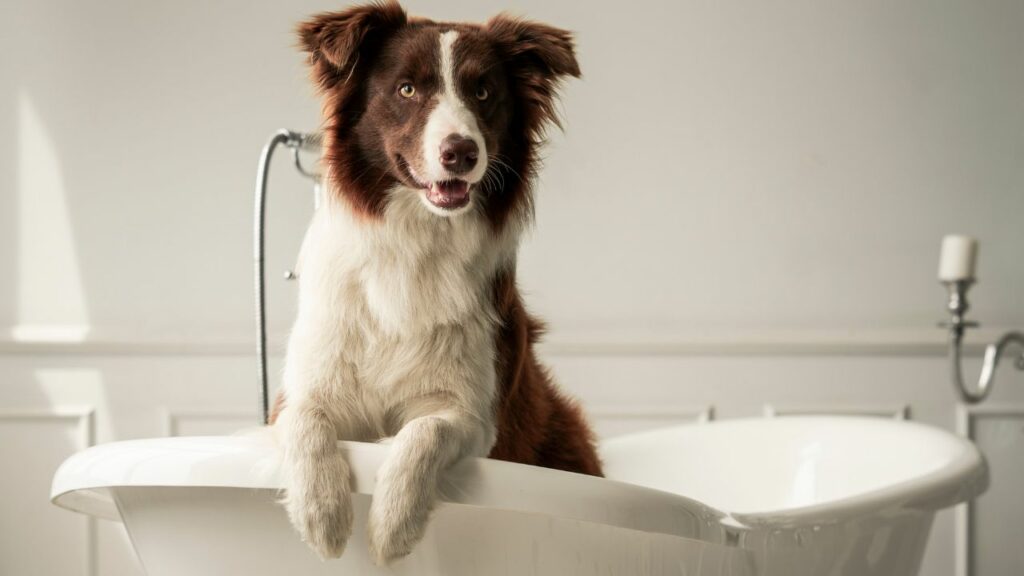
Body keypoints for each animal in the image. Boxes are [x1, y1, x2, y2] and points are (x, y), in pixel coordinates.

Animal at [270, 0, 598, 561]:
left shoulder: (475, 414)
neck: (416, 240)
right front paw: (321, 513)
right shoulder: (302, 389)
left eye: (483, 92)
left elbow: (425, 431)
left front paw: (393, 524)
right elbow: (304, 418)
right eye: (406, 89)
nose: (461, 152)